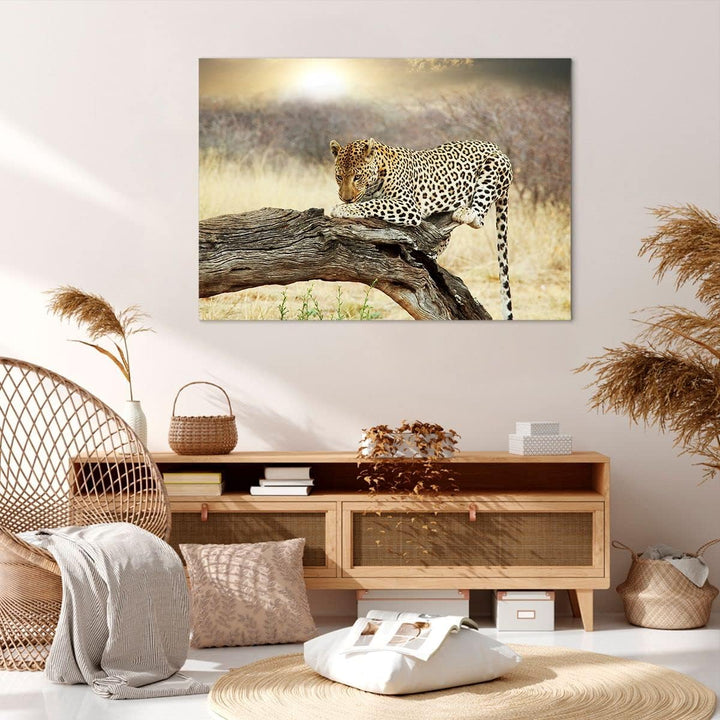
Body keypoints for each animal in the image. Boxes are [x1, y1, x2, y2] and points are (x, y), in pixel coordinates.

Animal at [329, 138, 514, 320]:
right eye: (339, 177)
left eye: (357, 177)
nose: (346, 198)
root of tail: (495, 146)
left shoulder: (408, 206)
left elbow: (375, 204)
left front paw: (342, 209)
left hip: (493, 166)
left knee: (478, 219)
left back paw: (465, 212)